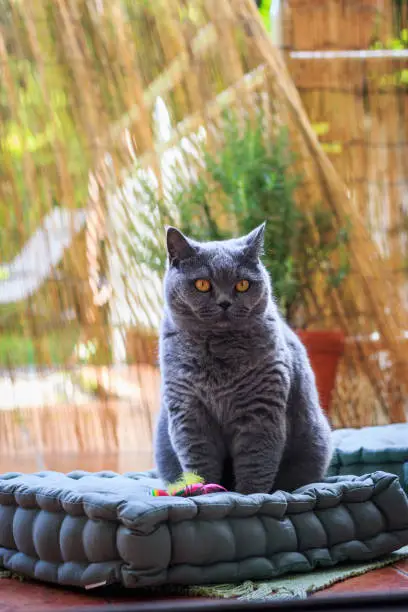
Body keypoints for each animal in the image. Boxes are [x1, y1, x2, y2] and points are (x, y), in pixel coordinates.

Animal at [154, 222, 332, 494]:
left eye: (242, 285)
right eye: (202, 284)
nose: (225, 302)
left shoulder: (260, 412)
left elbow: (256, 462)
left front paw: (249, 495)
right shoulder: (188, 410)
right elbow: (199, 460)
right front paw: (203, 490)